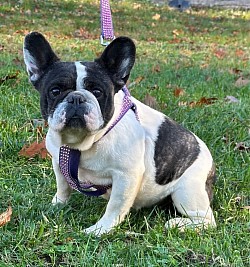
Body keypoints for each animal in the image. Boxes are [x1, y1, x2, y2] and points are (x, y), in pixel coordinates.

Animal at [23, 32, 217, 236]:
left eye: (97, 92)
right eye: (55, 91)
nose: (76, 98)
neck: (81, 143)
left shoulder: (126, 176)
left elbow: (115, 206)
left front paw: (99, 229)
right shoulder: (58, 161)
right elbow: (62, 186)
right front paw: (57, 204)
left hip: (187, 191)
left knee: (207, 220)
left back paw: (177, 224)